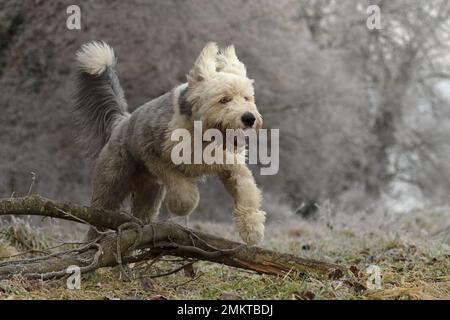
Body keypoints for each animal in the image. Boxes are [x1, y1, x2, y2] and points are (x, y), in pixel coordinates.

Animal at [72, 41, 266, 244]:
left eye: (247, 98)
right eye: (224, 99)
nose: (249, 118)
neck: (202, 135)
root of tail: (121, 121)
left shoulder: (231, 165)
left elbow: (247, 192)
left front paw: (252, 230)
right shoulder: (155, 154)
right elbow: (181, 189)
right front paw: (181, 206)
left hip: (148, 195)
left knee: (141, 217)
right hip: (111, 185)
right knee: (97, 219)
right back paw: (91, 246)